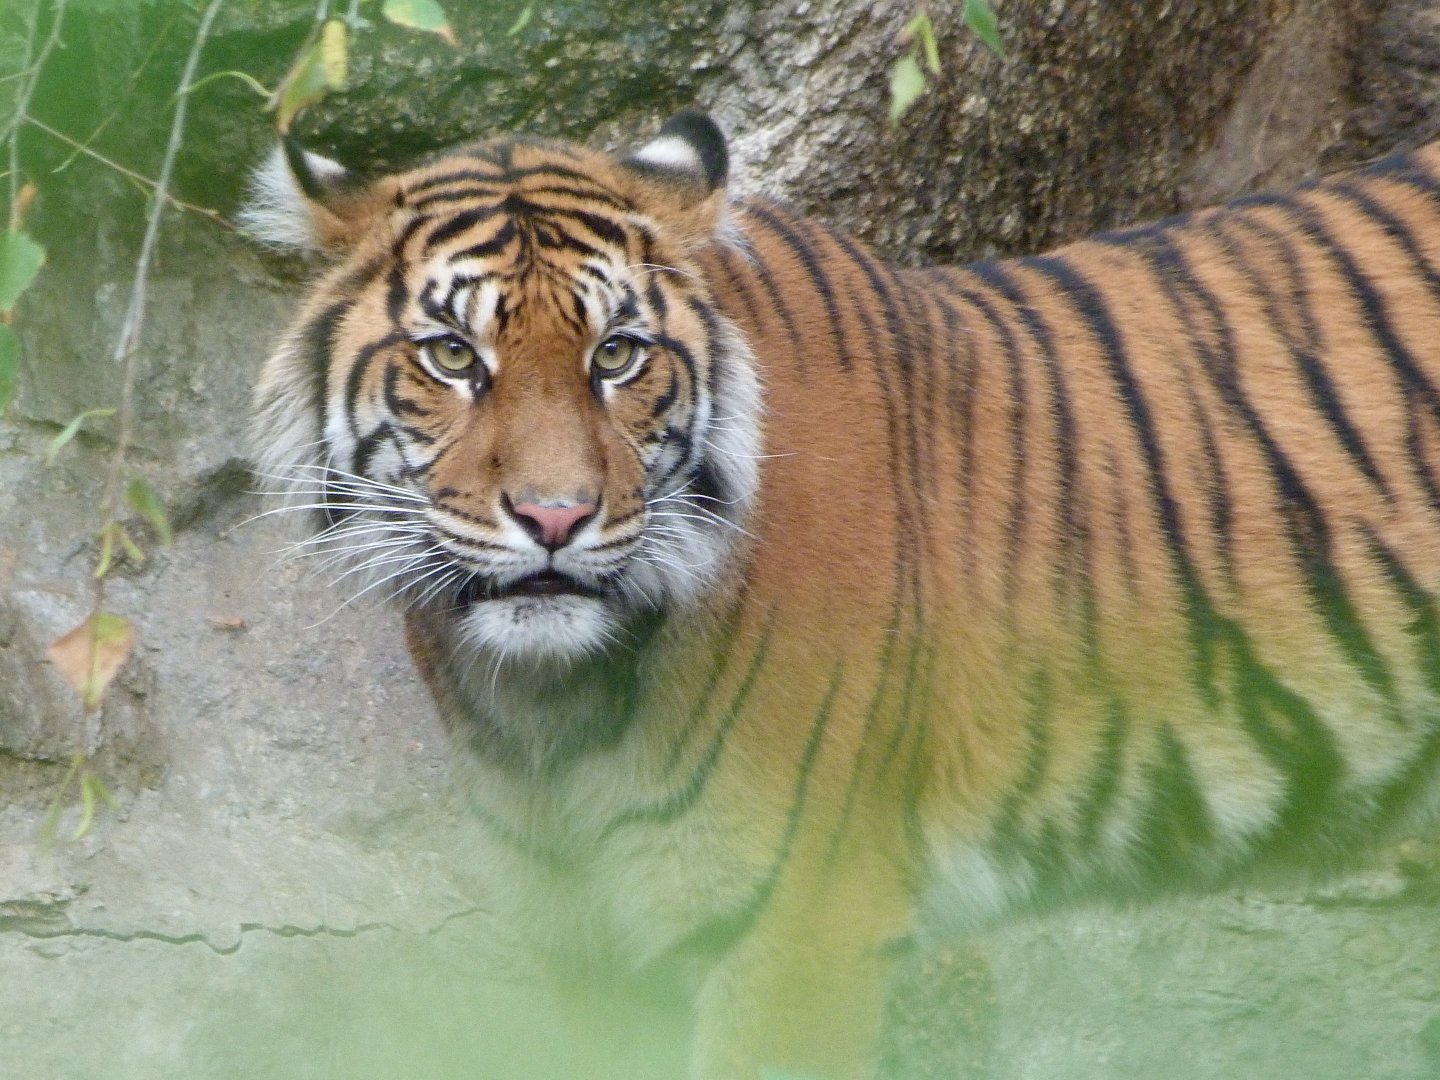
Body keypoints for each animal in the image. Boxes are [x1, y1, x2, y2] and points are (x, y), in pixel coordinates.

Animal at [245, 109, 1440, 1079]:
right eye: (452, 356)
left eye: (618, 355)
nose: (554, 517)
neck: (547, 706)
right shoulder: (585, 951)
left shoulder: (795, 930)